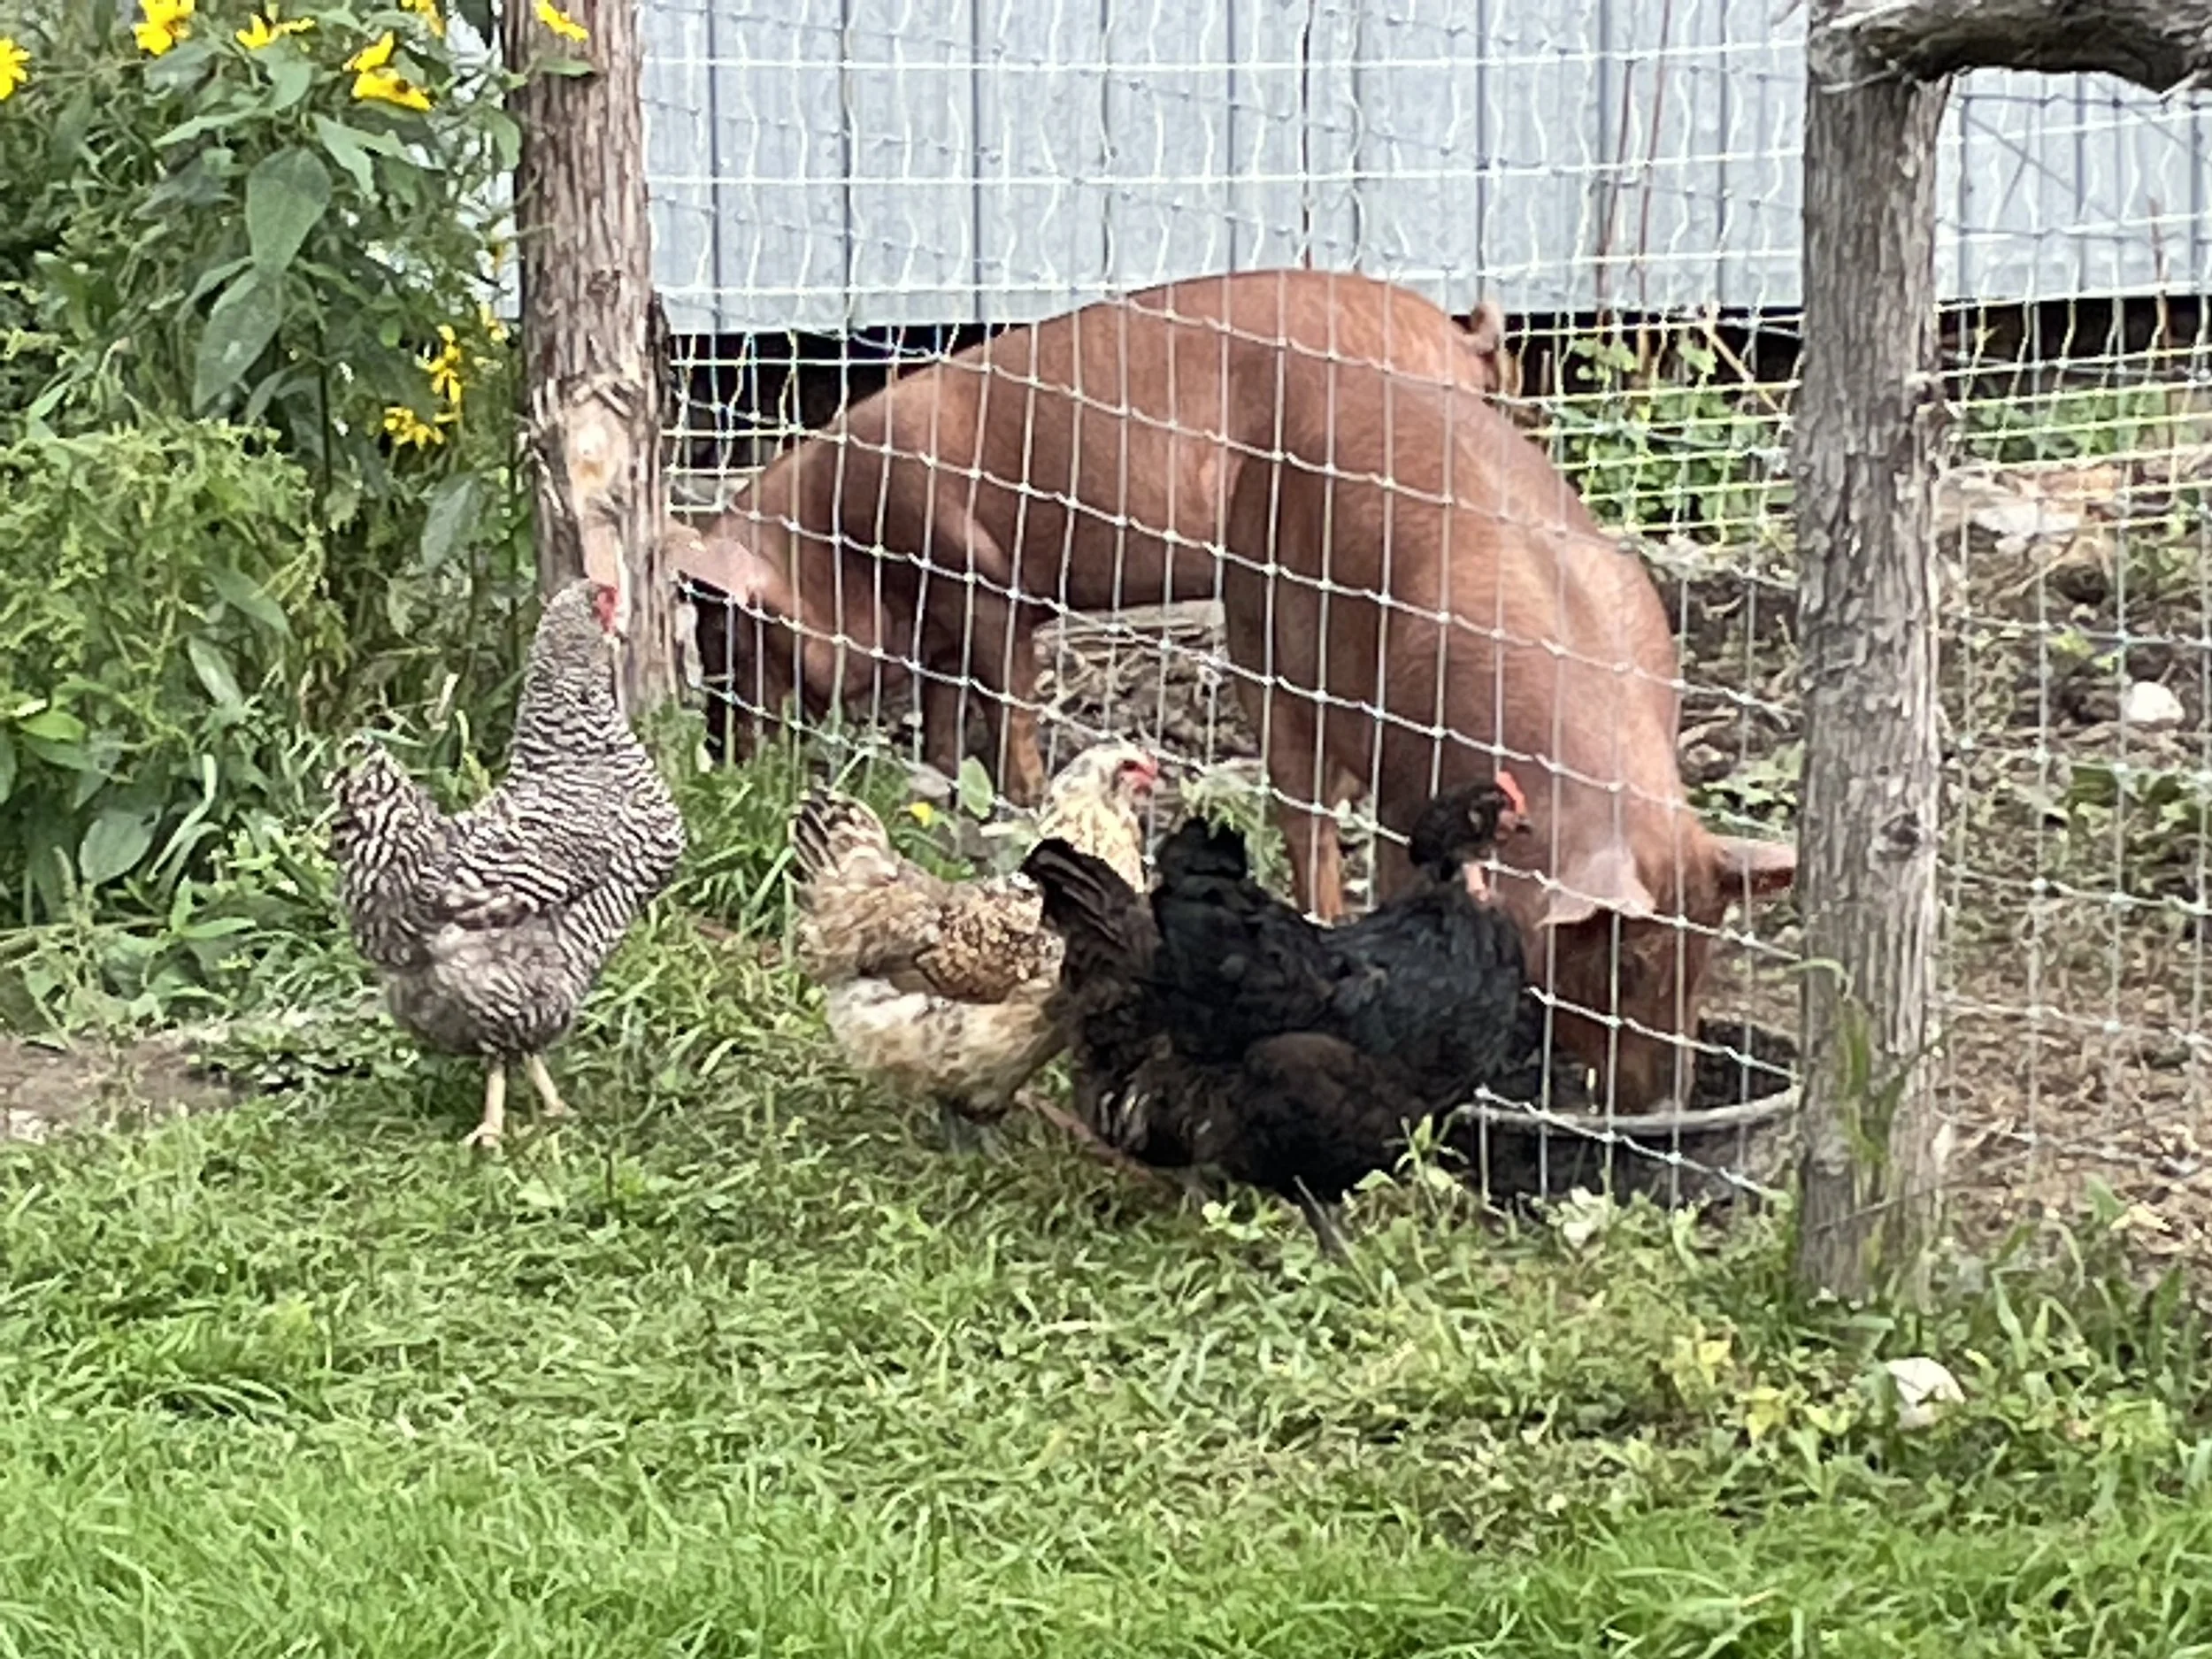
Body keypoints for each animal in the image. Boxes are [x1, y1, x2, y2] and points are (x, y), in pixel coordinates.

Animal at [671, 268, 1517, 804]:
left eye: (723, 634)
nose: (717, 758)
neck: (843, 543)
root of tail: (1458, 339)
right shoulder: (939, 618)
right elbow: (944, 706)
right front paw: (943, 783)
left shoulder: (984, 582)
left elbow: (1006, 700)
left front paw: (1020, 797)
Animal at [1217, 370, 1796, 1111]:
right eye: (1627, 961)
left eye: (1705, 950)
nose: (1667, 1105)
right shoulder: (1407, 787)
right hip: (1258, 646)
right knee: (1307, 824)